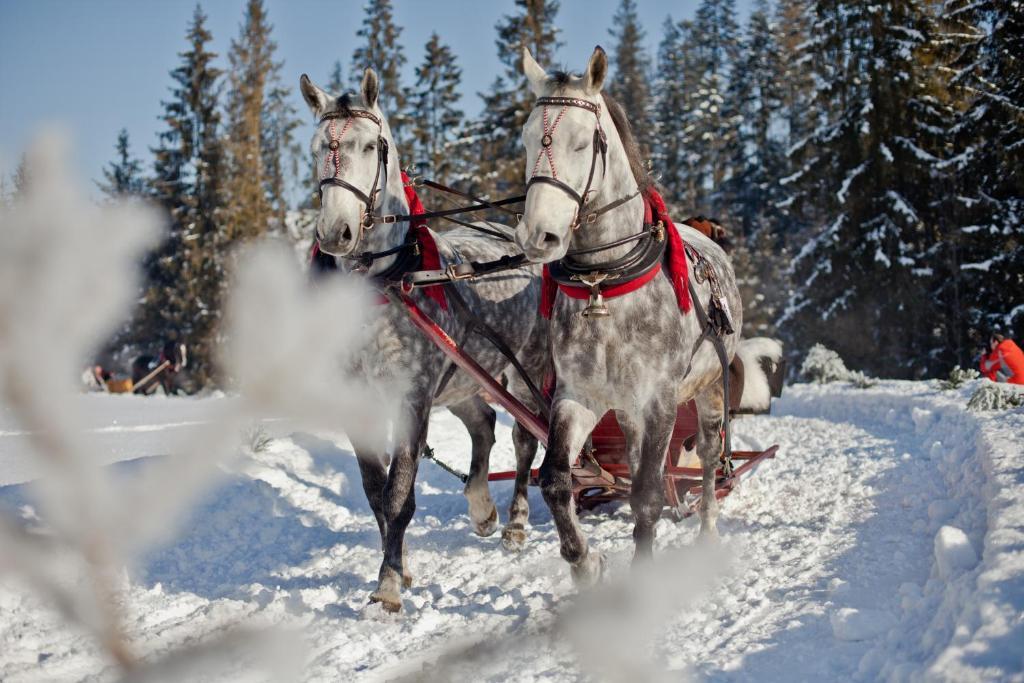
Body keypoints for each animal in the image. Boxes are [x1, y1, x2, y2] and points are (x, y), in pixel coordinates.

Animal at [301, 70, 548, 614]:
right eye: (316, 148)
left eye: (371, 145)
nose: (335, 232)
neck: (386, 282)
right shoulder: (358, 401)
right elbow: (376, 491)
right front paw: (402, 566)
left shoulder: (411, 397)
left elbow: (400, 493)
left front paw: (389, 583)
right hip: (463, 378)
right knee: (484, 425)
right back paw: (481, 507)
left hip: (526, 371)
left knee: (524, 439)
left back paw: (516, 520)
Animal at [516, 45, 778, 585]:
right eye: (528, 138)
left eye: (583, 142)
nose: (537, 236)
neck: (605, 285)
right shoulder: (578, 395)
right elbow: (555, 480)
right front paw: (585, 561)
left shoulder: (660, 398)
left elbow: (648, 495)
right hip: (628, 408)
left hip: (707, 392)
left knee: (708, 458)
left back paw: (707, 530)